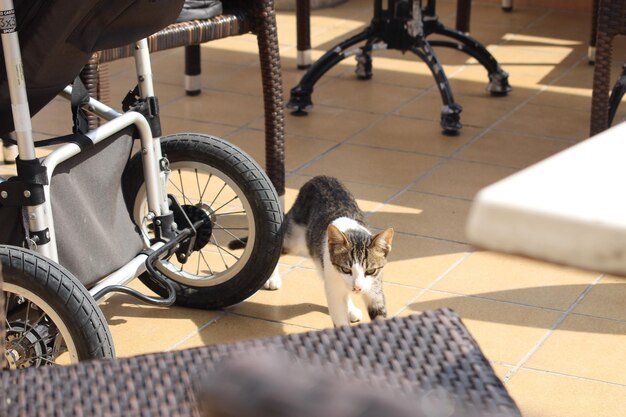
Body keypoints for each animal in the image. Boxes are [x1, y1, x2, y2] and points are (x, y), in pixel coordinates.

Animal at [232, 174, 392, 326]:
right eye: (346, 269)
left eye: (370, 271)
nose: (358, 288)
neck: (352, 230)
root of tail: (319, 178)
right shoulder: (333, 278)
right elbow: (338, 310)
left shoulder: (375, 286)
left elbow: (378, 310)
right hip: (294, 239)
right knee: (276, 245)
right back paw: (272, 278)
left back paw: (351, 309)